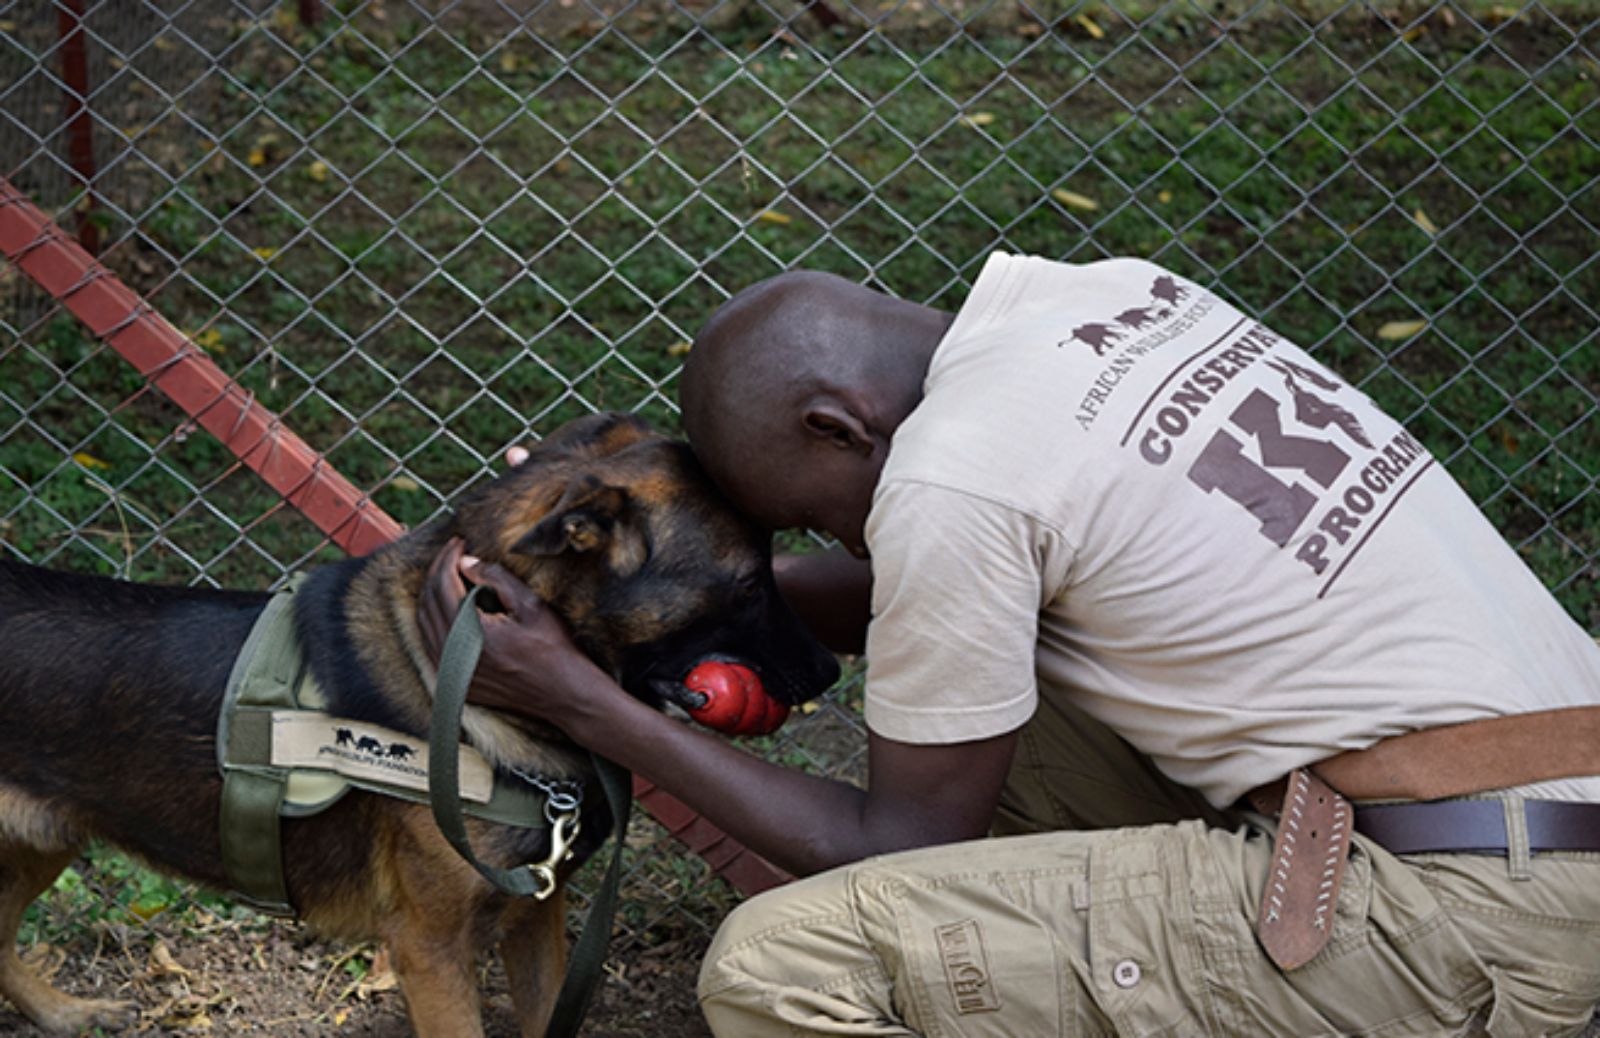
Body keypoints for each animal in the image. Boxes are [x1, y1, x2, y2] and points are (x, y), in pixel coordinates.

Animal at [0, 412, 844, 1036]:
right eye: (749, 582)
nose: (831, 673)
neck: (460, 676)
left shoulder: (536, 917)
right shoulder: (430, 952)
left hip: (40, 842)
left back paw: (62, 1014)